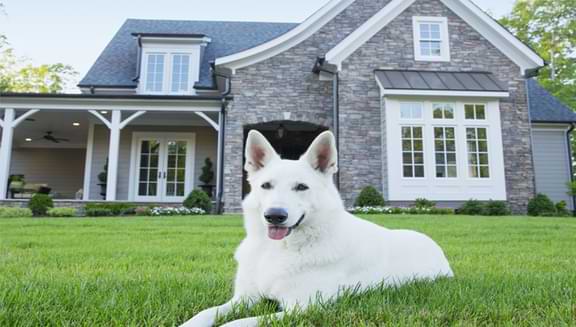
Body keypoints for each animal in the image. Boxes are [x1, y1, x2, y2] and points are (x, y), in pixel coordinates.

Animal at [182, 131, 452, 327]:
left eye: (301, 187)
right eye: (266, 185)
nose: (275, 216)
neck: (277, 250)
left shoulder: (299, 308)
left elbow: (236, 323)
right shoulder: (243, 298)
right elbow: (206, 313)